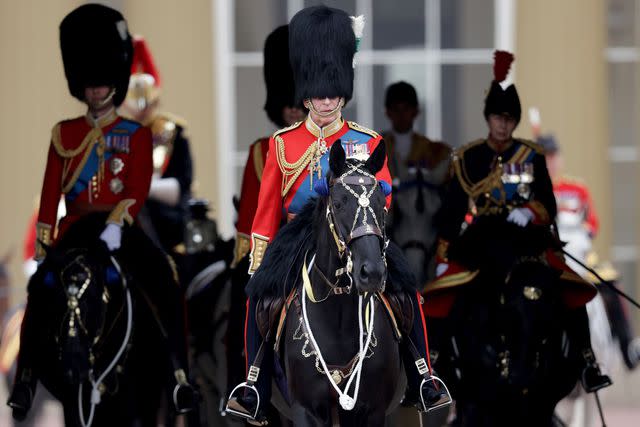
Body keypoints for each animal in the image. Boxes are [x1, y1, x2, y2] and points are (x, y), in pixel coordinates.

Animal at [244, 142, 416, 426]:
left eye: (382, 204)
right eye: (337, 204)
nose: (372, 272)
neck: (338, 317)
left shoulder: (373, 411)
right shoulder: (305, 410)